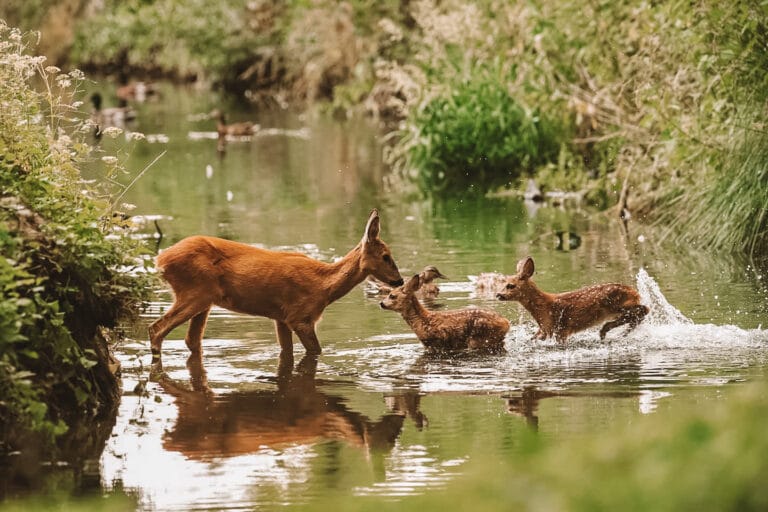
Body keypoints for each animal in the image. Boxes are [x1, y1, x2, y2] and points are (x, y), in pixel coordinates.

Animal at [147, 208, 404, 360]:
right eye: (385, 256)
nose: (399, 280)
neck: (324, 285)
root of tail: (161, 260)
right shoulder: (301, 316)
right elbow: (316, 350)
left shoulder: (281, 318)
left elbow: (286, 352)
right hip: (194, 292)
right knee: (156, 329)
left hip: (205, 300)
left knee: (191, 340)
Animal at [380, 272, 510, 352]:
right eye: (389, 294)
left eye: (392, 296)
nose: (381, 303)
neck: (422, 321)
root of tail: (506, 322)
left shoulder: (435, 344)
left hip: (481, 338)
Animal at [498, 256, 648, 344]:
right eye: (503, 282)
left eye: (511, 285)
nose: (498, 294)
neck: (543, 308)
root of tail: (634, 291)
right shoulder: (544, 330)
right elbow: (532, 339)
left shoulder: (559, 329)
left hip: (617, 306)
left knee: (644, 309)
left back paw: (608, 331)